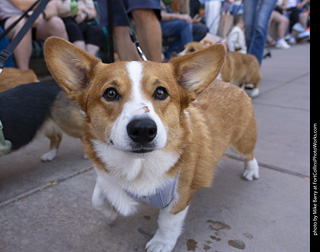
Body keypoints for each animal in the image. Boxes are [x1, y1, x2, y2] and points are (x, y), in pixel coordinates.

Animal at [43, 37, 258, 252]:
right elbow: (97, 198)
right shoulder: (107, 177)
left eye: (161, 92)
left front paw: (161, 243)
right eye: (110, 93)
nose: (143, 129)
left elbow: (167, 222)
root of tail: (229, 85)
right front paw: (110, 214)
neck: (139, 165)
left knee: (250, 156)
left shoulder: (179, 197)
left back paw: (251, 172)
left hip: (241, 144)